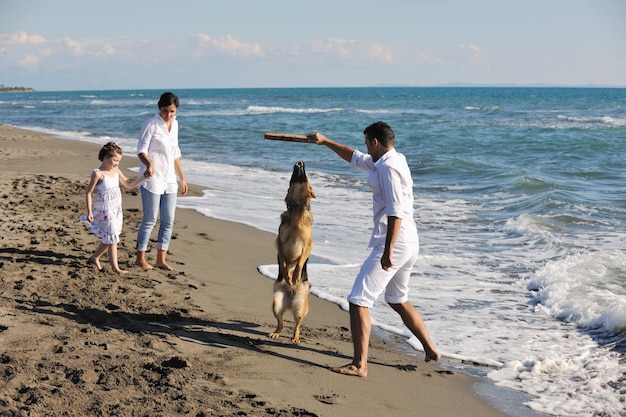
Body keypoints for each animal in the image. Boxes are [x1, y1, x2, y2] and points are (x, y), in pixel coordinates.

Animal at [268, 159, 314, 342]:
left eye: (305, 176)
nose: (300, 162)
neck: (296, 207)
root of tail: (290, 295)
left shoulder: (308, 244)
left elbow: (300, 262)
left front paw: (294, 276)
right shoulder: (280, 243)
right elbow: (285, 262)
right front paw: (288, 276)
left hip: (299, 306)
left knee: (297, 324)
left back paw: (296, 337)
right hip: (276, 303)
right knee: (280, 322)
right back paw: (276, 332)